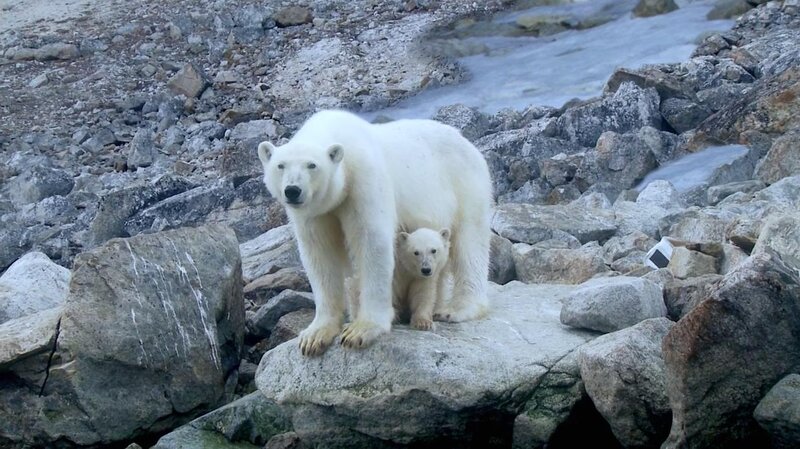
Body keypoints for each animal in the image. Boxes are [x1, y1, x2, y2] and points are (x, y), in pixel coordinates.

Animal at [257, 110, 493, 356]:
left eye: (312, 165)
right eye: (280, 165)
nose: (292, 190)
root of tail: (467, 142)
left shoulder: (363, 181)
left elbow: (372, 243)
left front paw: (360, 330)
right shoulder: (315, 212)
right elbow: (319, 255)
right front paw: (314, 336)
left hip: (465, 186)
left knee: (470, 244)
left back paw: (456, 309)